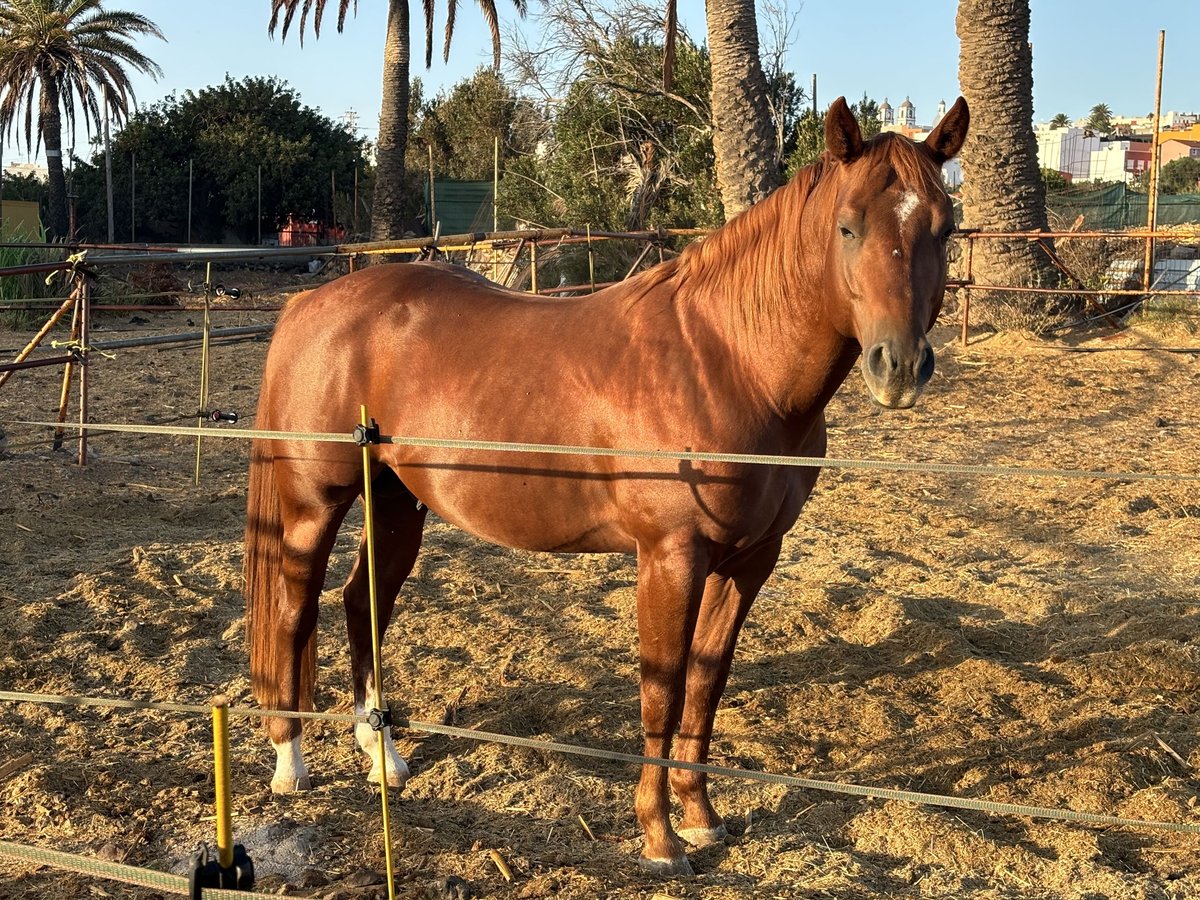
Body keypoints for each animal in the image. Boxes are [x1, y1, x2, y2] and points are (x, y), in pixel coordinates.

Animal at [243, 97, 964, 873]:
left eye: (945, 226)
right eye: (848, 225)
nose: (900, 366)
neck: (727, 360)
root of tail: (310, 303)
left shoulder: (749, 560)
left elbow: (706, 683)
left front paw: (702, 817)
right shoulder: (671, 557)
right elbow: (663, 688)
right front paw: (659, 837)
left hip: (399, 502)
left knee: (362, 604)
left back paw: (384, 756)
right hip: (314, 507)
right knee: (294, 610)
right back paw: (290, 764)